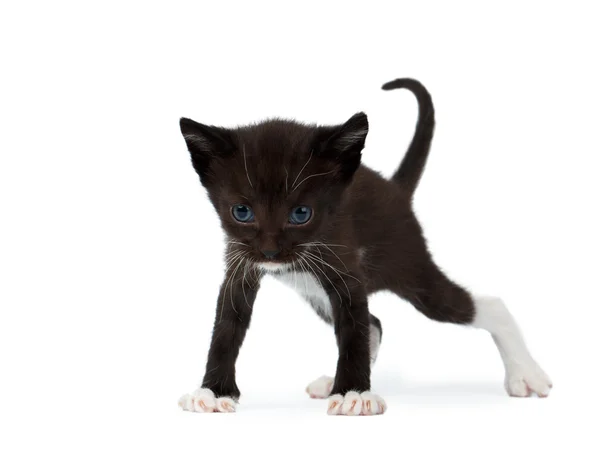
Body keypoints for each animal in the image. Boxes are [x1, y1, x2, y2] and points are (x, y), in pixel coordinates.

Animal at [176, 77, 552, 414]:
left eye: (301, 213)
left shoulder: (346, 269)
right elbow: (226, 327)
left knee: (485, 305)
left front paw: (353, 394)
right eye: (241, 211)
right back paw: (333, 381)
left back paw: (526, 375)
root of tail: (395, 190)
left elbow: (352, 331)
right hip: (314, 290)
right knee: (375, 324)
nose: (269, 252)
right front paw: (212, 392)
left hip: (412, 270)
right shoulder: (239, 266)